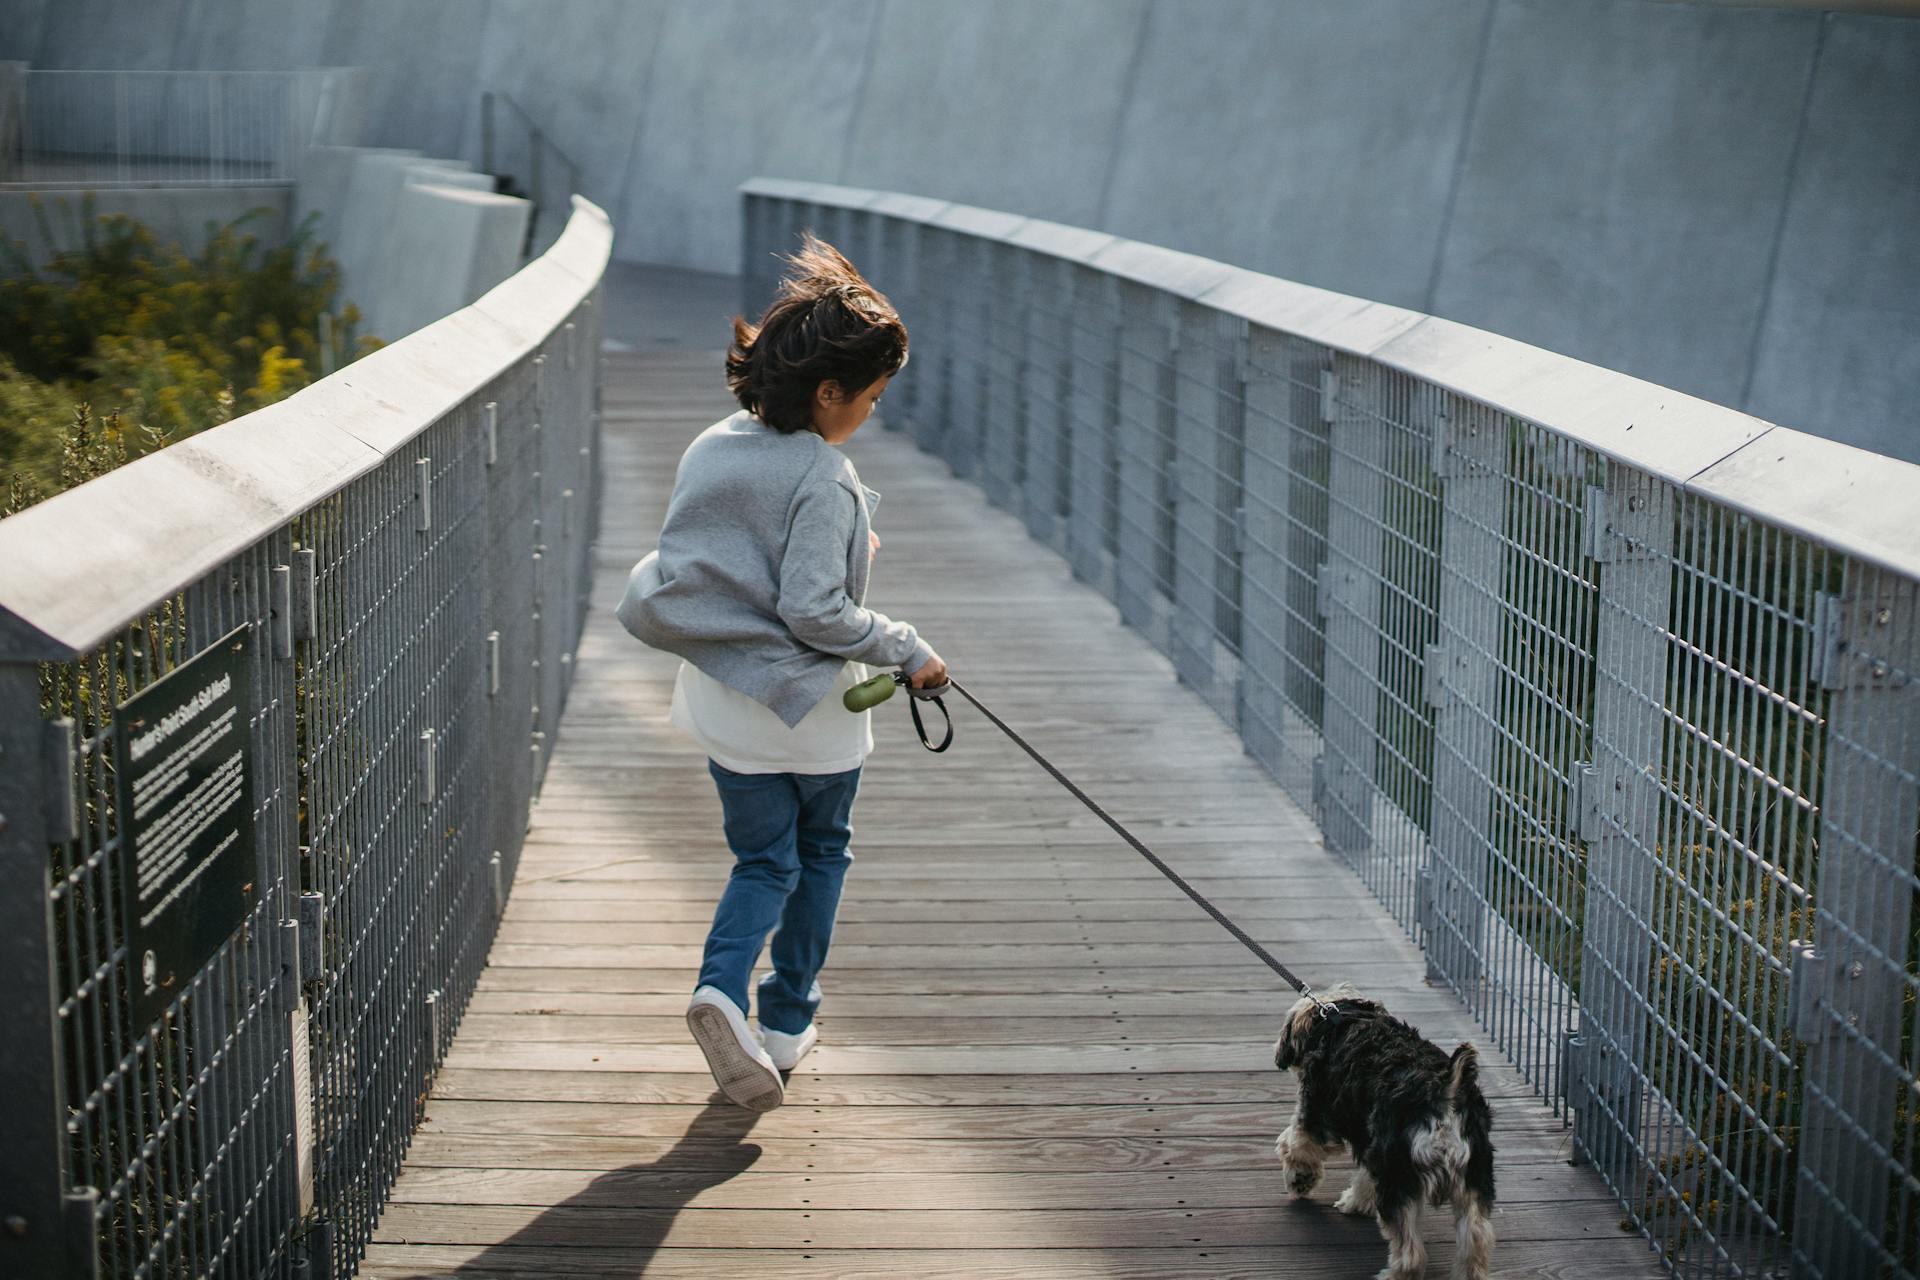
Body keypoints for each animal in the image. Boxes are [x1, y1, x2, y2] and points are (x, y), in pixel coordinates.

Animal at [1274, 990, 1497, 1280]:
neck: (1335, 1017)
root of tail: (1446, 1093)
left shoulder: (1316, 1118)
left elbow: (1295, 1145)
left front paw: (1300, 1179)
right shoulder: (1371, 1142)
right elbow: (1365, 1178)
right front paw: (1357, 1202)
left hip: (1399, 1177)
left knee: (1411, 1253)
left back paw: (1393, 1273)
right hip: (1473, 1175)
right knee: (1476, 1236)